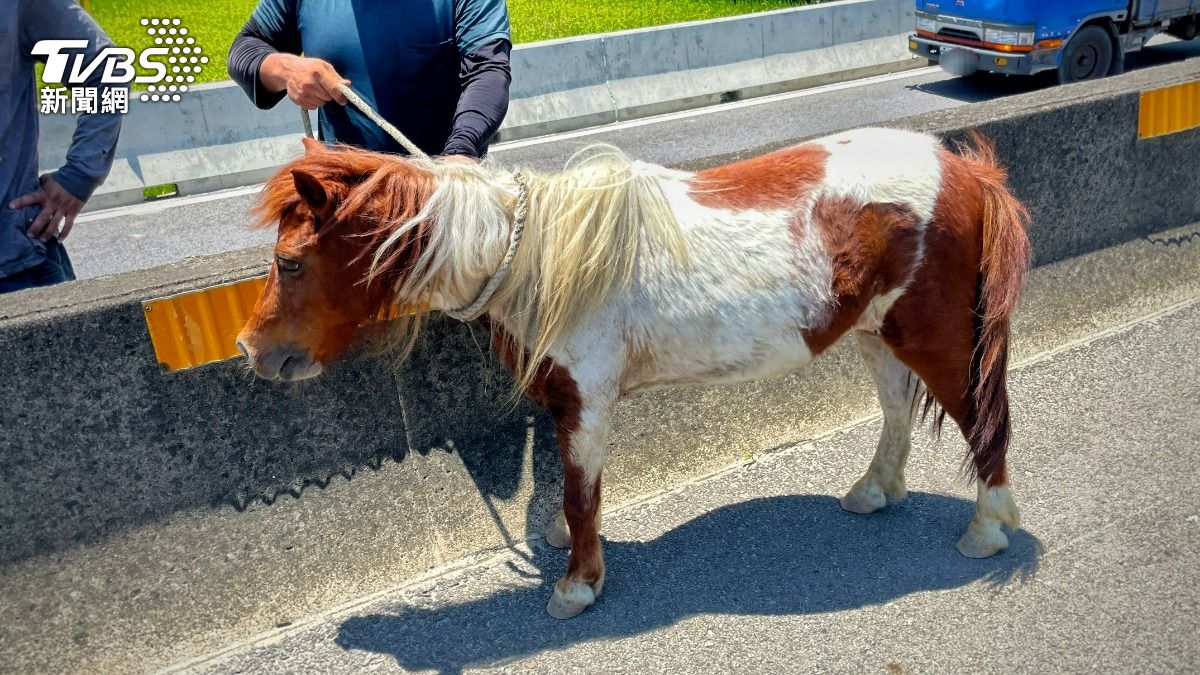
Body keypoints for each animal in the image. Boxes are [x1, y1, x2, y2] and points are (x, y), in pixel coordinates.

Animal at [236, 128, 1032, 619]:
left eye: (290, 262)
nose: (251, 348)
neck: (536, 258)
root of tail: (966, 171)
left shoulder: (587, 401)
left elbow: (583, 494)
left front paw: (578, 584)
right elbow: (568, 489)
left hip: (937, 339)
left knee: (984, 424)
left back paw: (988, 529)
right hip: (875, 331)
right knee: (897, 412)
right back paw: (874, 491)